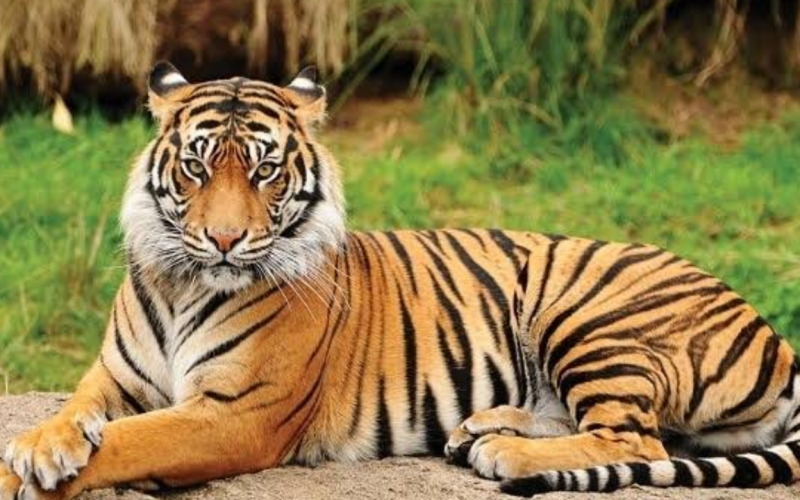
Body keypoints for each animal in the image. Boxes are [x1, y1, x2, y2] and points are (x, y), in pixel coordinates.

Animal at [1, 61, 799, 500]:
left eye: (264, 169)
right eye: (197, 166)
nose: (224, 240)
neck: (182, 281)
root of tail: (777, 340)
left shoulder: (234, 413)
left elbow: (129, 443)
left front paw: (23, 475)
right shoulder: (114, 376)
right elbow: (77, 414)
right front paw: (41, 445)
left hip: (586, 313)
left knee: (637, 441)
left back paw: (504, 451)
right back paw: (480, 428)